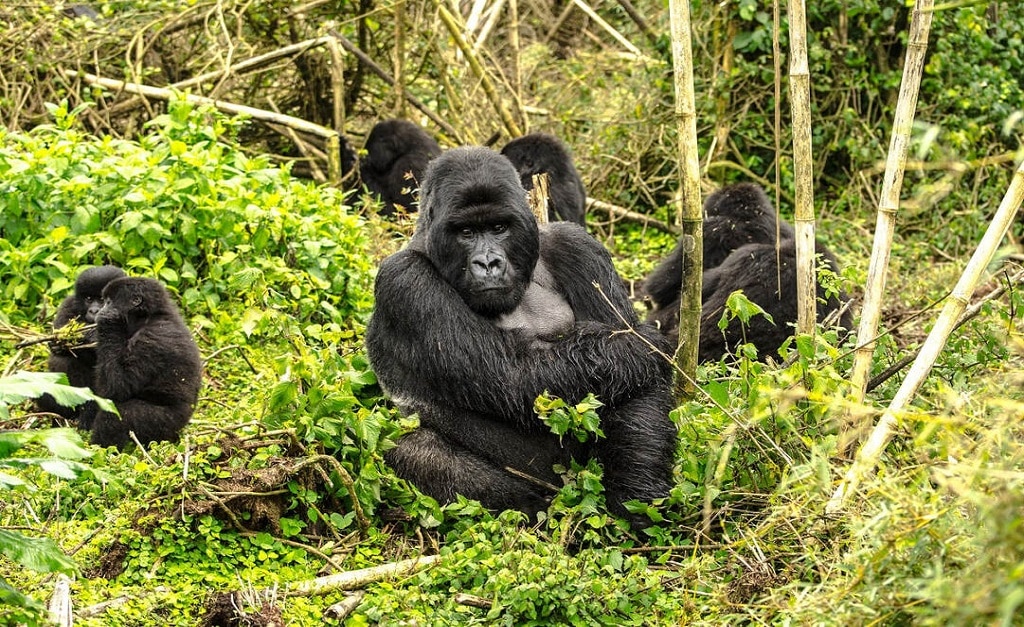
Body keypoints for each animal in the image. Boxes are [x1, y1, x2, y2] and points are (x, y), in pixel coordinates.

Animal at [35, 264, 126, 422]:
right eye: (89, 299)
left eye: (102, 299)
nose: (94, 310)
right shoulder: (68, 305)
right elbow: (57, 348)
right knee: (63, 359)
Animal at [78, 276, 202, 448]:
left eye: (108, 302)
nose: (99, 312)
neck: (148, 318)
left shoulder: (151, 340)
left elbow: (118, 387)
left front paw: (107, 322)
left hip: (167, 425)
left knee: (118, 414)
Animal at [364, 144, 675, 522]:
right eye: (466, 232)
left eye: (499, 227)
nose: (488, 263)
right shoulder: (405, 280)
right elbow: (511, 377)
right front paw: (640, 346)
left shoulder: (577, 245)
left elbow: (638, 389)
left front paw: (638, 493)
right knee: (413, 449)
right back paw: (532, 510)